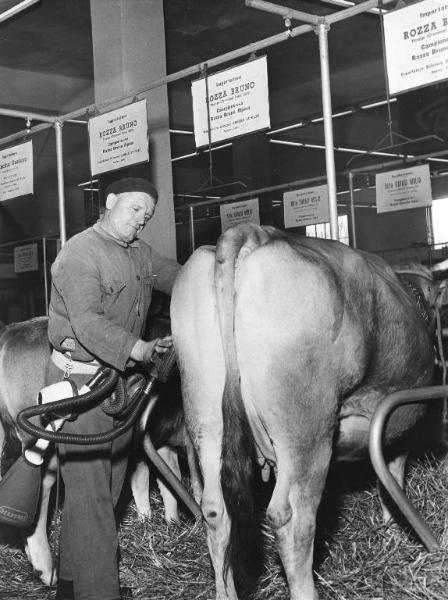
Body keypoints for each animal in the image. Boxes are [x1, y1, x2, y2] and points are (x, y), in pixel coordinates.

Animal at [0, 316, 200, 584]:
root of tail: (11, 331)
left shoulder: (158, 444)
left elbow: (162, 481)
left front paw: (163, 521)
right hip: (41, 439)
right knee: (41, 492)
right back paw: (46, 569)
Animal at [172, 223, 444, 600]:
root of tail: (253, 233)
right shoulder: (398, 425)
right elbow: (392, 479)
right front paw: (395, 531)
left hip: (206, 414)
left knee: (215, 510)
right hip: (307, 432)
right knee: (292, 519)